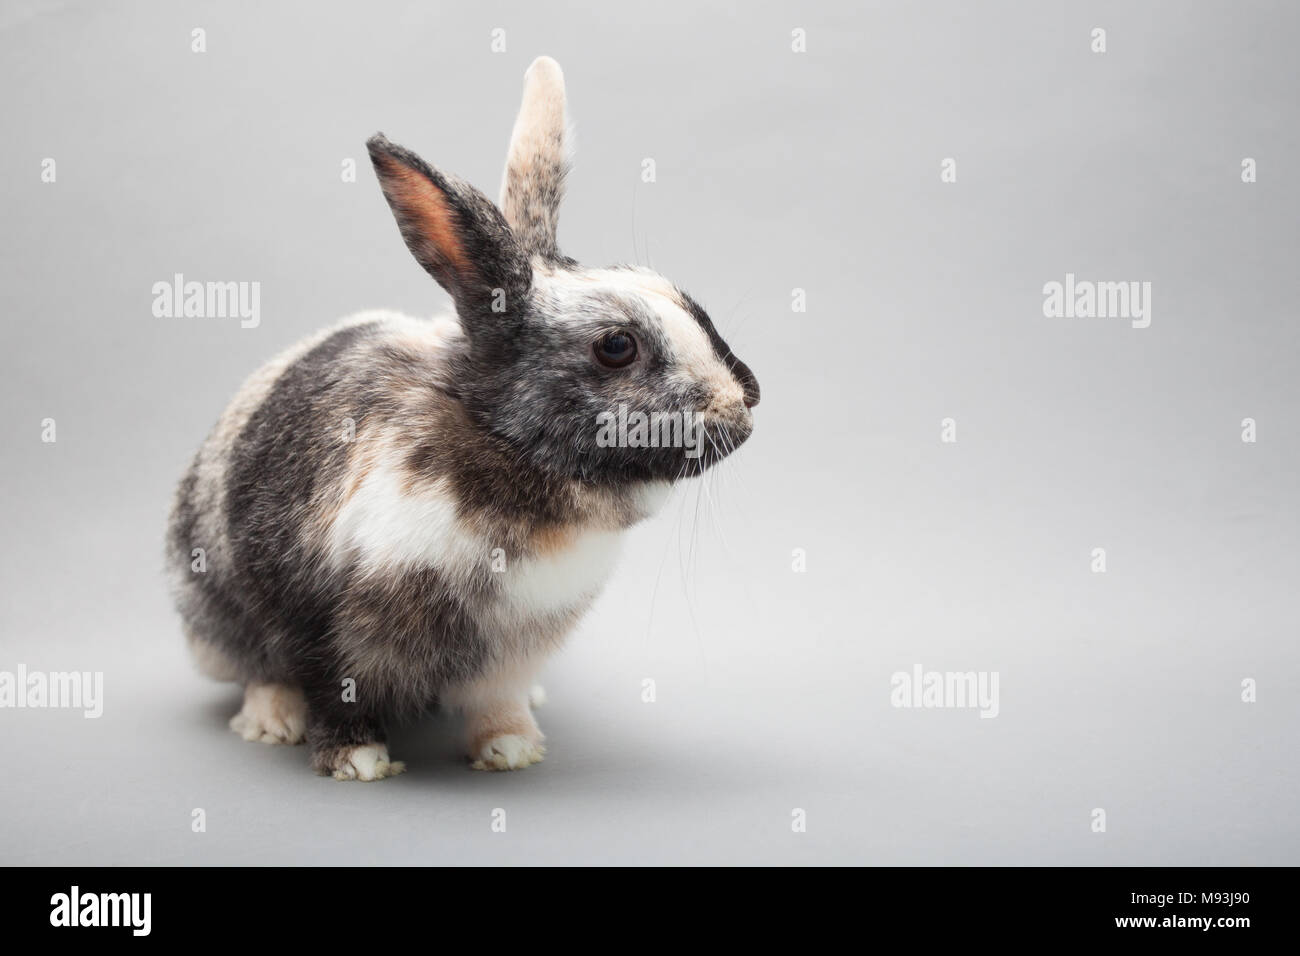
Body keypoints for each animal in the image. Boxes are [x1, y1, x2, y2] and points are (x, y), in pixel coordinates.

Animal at [172, 55, 759, 780]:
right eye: (616, 347)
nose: (746, 404)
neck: (501, 440)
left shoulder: (515, 648)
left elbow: (497, 700)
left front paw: (514, 749)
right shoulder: (321, 620)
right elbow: (331, 688)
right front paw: (358, 762)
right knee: (259, 670)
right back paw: (270, 723)